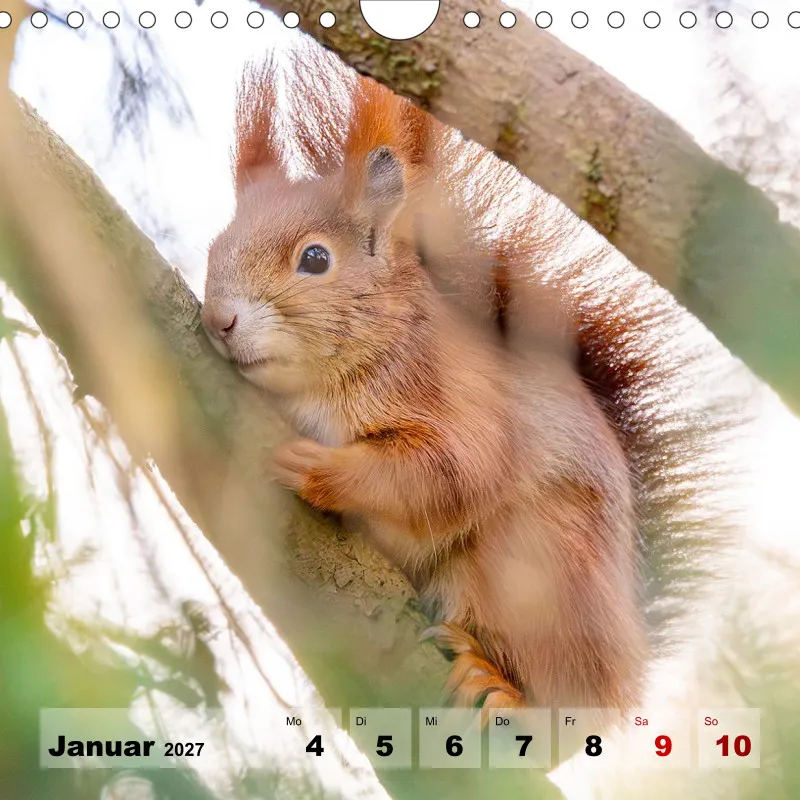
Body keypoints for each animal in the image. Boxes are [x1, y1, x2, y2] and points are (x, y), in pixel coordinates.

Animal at [201, 47, 736, 716]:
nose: (219, 320)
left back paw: (501, 686)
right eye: (214, 247)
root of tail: (625, 668)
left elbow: (446, 472)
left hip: (538, 569)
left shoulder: (460, 402)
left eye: (316, 259)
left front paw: (319, 468)